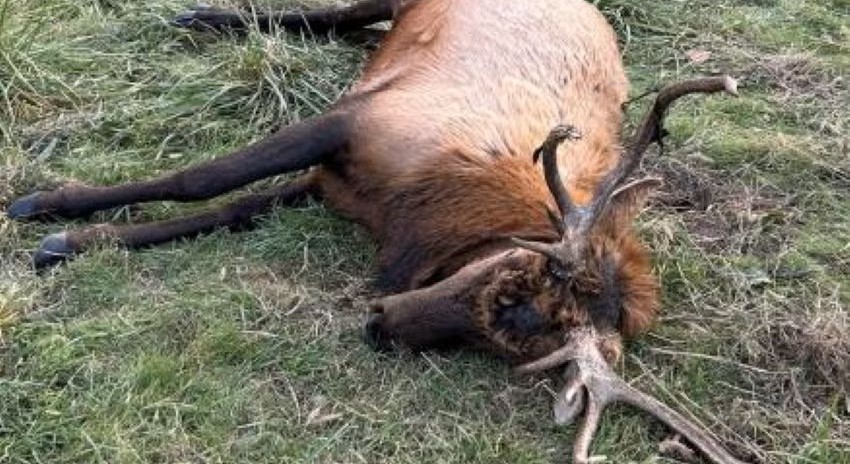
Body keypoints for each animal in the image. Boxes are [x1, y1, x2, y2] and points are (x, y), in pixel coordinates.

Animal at [6, 1, 746, 463]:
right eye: (505, 283)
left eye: (509, 349)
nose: (378, 323)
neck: (414, 213)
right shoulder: (351, 124)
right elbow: (202, 178)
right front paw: (44, 205)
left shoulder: (333, 184)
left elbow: (222, 211)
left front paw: (73, 241)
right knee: (347, 13)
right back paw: (208, 16)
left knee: (361, 27)